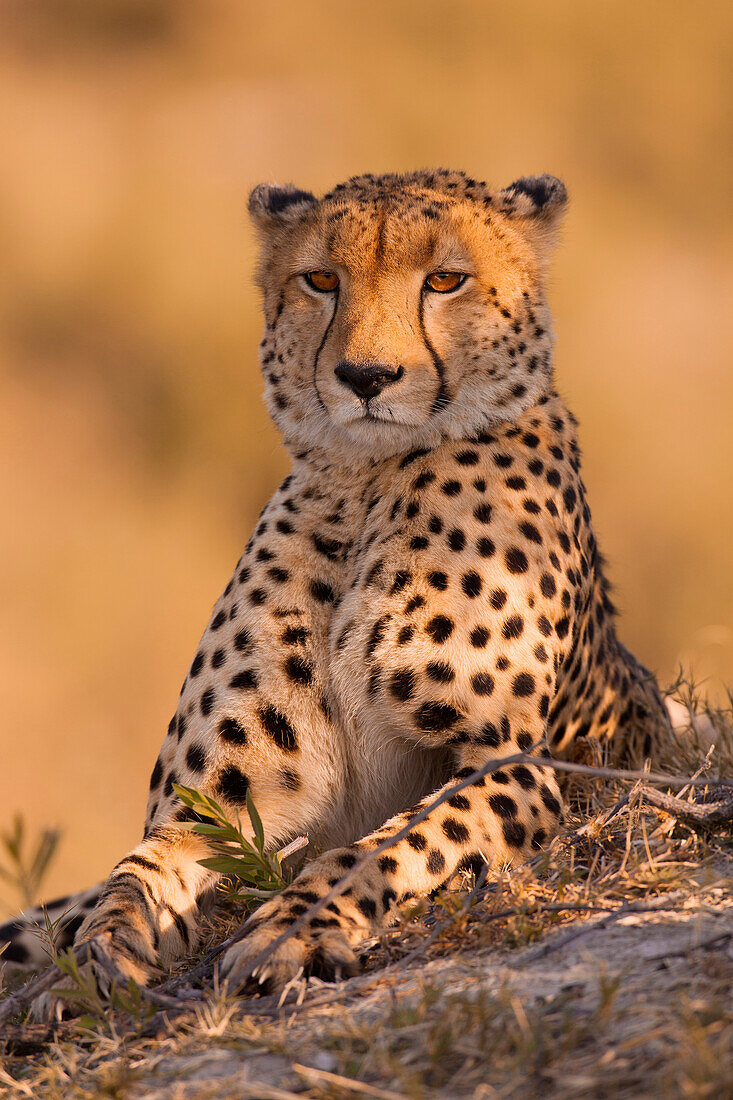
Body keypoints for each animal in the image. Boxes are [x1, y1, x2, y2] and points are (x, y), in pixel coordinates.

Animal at [2, 169, 669, 1007]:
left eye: (444, 280)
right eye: (320, 280)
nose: (364, 377)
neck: (369, 482)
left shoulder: (513, 766)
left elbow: (391, 843)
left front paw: (292, 928)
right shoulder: (208, 809)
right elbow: (131, 879)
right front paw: (93, 963)